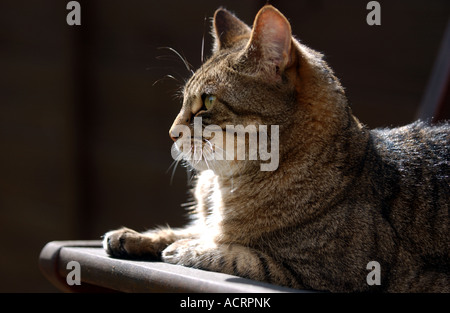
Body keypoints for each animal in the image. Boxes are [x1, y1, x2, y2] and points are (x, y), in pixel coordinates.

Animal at [103, 5, 450, 292]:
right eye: (185, 99)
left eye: (208, 101)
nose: (172, 133)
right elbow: (189, 229)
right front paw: (134, 236)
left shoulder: (329, 274)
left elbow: (239, 255)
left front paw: (185, 249)